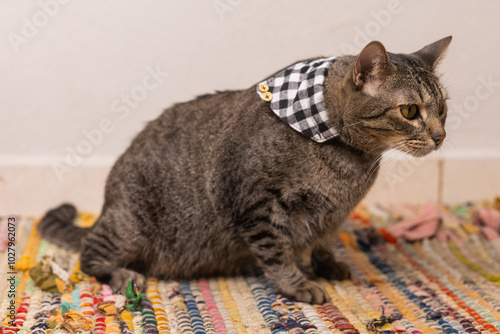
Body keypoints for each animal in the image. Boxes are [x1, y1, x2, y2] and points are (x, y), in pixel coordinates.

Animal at [39, 36, 452, 302]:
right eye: (410, 111)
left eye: (443, 109)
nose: (440, 136)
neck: (348, 164)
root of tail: (107, 206)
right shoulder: (257, 203)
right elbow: (277, 252)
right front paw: (296, 284)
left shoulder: (331, 214)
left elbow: (319, 240)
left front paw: (326, 262)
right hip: (130, 225)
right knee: (89, 255)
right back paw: (124, 274)